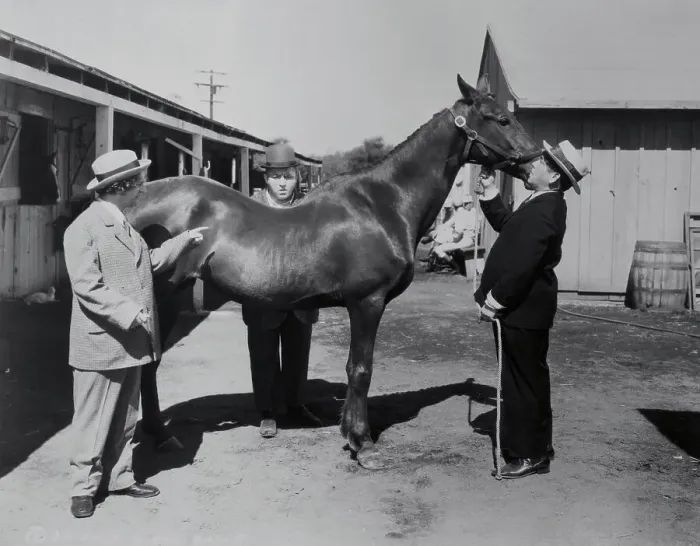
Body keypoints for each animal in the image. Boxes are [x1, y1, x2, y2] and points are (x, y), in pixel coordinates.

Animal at [126, 74, 543, 470]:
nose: (538, 163)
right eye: (502, 119)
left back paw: (160, 434)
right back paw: (160, 435)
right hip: (164, 298)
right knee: (149, 364)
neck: (384, 204)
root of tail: (132, 202)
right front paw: (362, 444)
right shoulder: (367, 302)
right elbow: (360, 369)